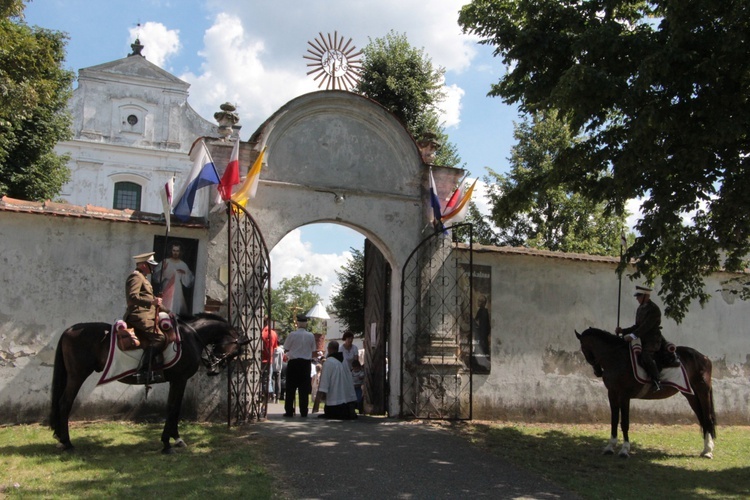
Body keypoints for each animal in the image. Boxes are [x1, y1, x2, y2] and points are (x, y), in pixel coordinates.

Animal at [47, 314, 247, 456]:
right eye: (236, 350)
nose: (213, 368)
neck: (190, 337)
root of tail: (69, 330)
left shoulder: (177, 381)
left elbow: (175, 408)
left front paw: (176, 438)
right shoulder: (179, 379)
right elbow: (173, 408)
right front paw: (166, 443)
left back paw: (61, 438)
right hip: (77, 375)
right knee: (64, 403)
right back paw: (67, 443)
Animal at [576, 326, 716, 458]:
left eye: (583, 348)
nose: (597, 372)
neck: (617, 359)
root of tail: (704, 357)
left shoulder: (624, 396)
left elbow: (624, 422)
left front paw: (624, 450)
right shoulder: (612, 394)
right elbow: (614, 420)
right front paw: (610, 447)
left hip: (703, 392)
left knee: (707, 418)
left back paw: (708, 451)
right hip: (691, 395)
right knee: (702, 418)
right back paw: (705, 449)